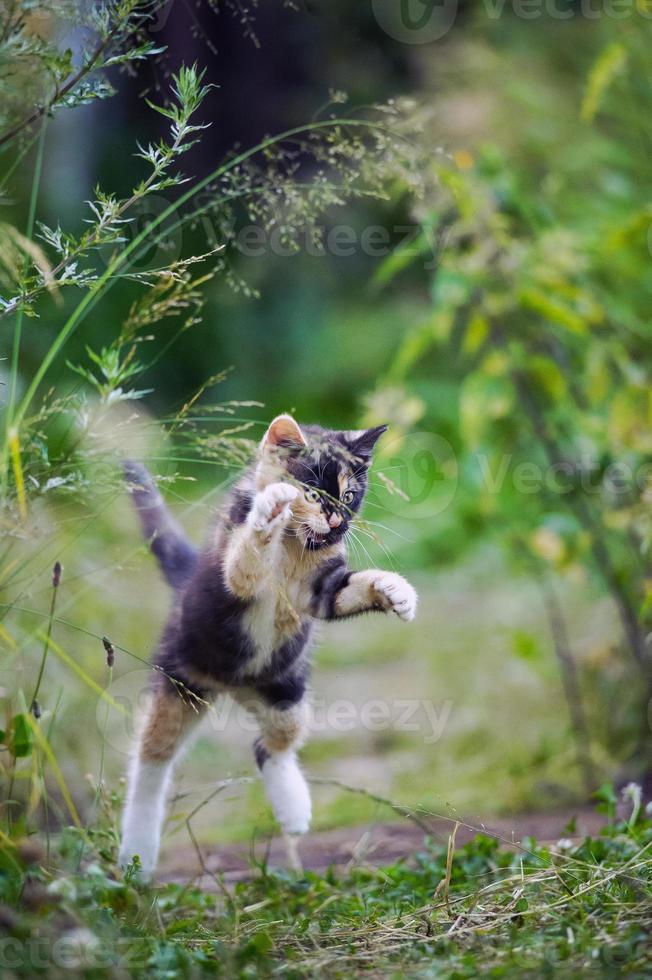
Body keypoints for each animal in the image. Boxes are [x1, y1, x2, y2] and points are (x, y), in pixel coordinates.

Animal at [118, 410, 418, 876]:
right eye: (313, 493)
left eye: (350, 495)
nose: (338, 522)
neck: (295, 542)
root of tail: (234, 687)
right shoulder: (233, 569)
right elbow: (246, 561)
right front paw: (269, 509)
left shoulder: (318, 591)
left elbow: (346, 589)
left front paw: (394, 590)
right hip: (180, 680)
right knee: (152, 760)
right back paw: (138, 849)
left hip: (284, 691)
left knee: (268, 745)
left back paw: (292, 809)